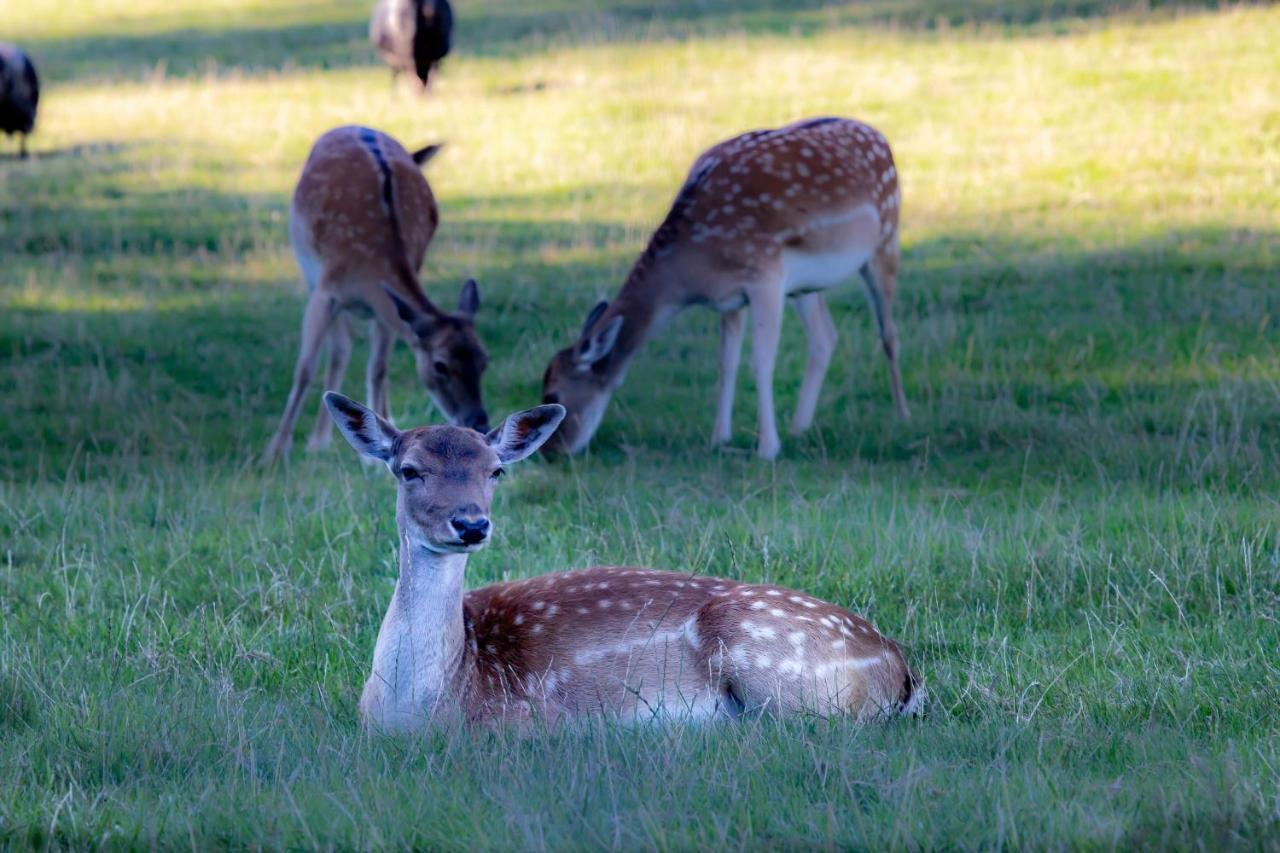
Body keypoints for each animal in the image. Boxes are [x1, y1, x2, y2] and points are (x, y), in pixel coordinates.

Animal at [264, 122, 488, 461]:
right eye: (440, 365)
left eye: (484, 359)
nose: (479, 422)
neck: (369, 269)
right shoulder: (325, 291)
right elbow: (305, 368)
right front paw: (275, 451)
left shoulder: (387, 306)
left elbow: (378, 368)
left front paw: (375, 453)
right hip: (311, 273)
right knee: (340, 349)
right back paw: (318, 440)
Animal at [540, 116, 911, 458]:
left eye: (554, 395)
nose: (550, 453)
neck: (693, 270)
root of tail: (878, 134)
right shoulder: (731, 297)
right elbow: (727, 363)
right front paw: (720, 438)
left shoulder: (765, 275)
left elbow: (761, 361)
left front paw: (767, 448)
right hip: (805, 287)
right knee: (825, 336)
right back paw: (799, 427)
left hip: (886, 238)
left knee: (889, 333)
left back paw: (900, 415)